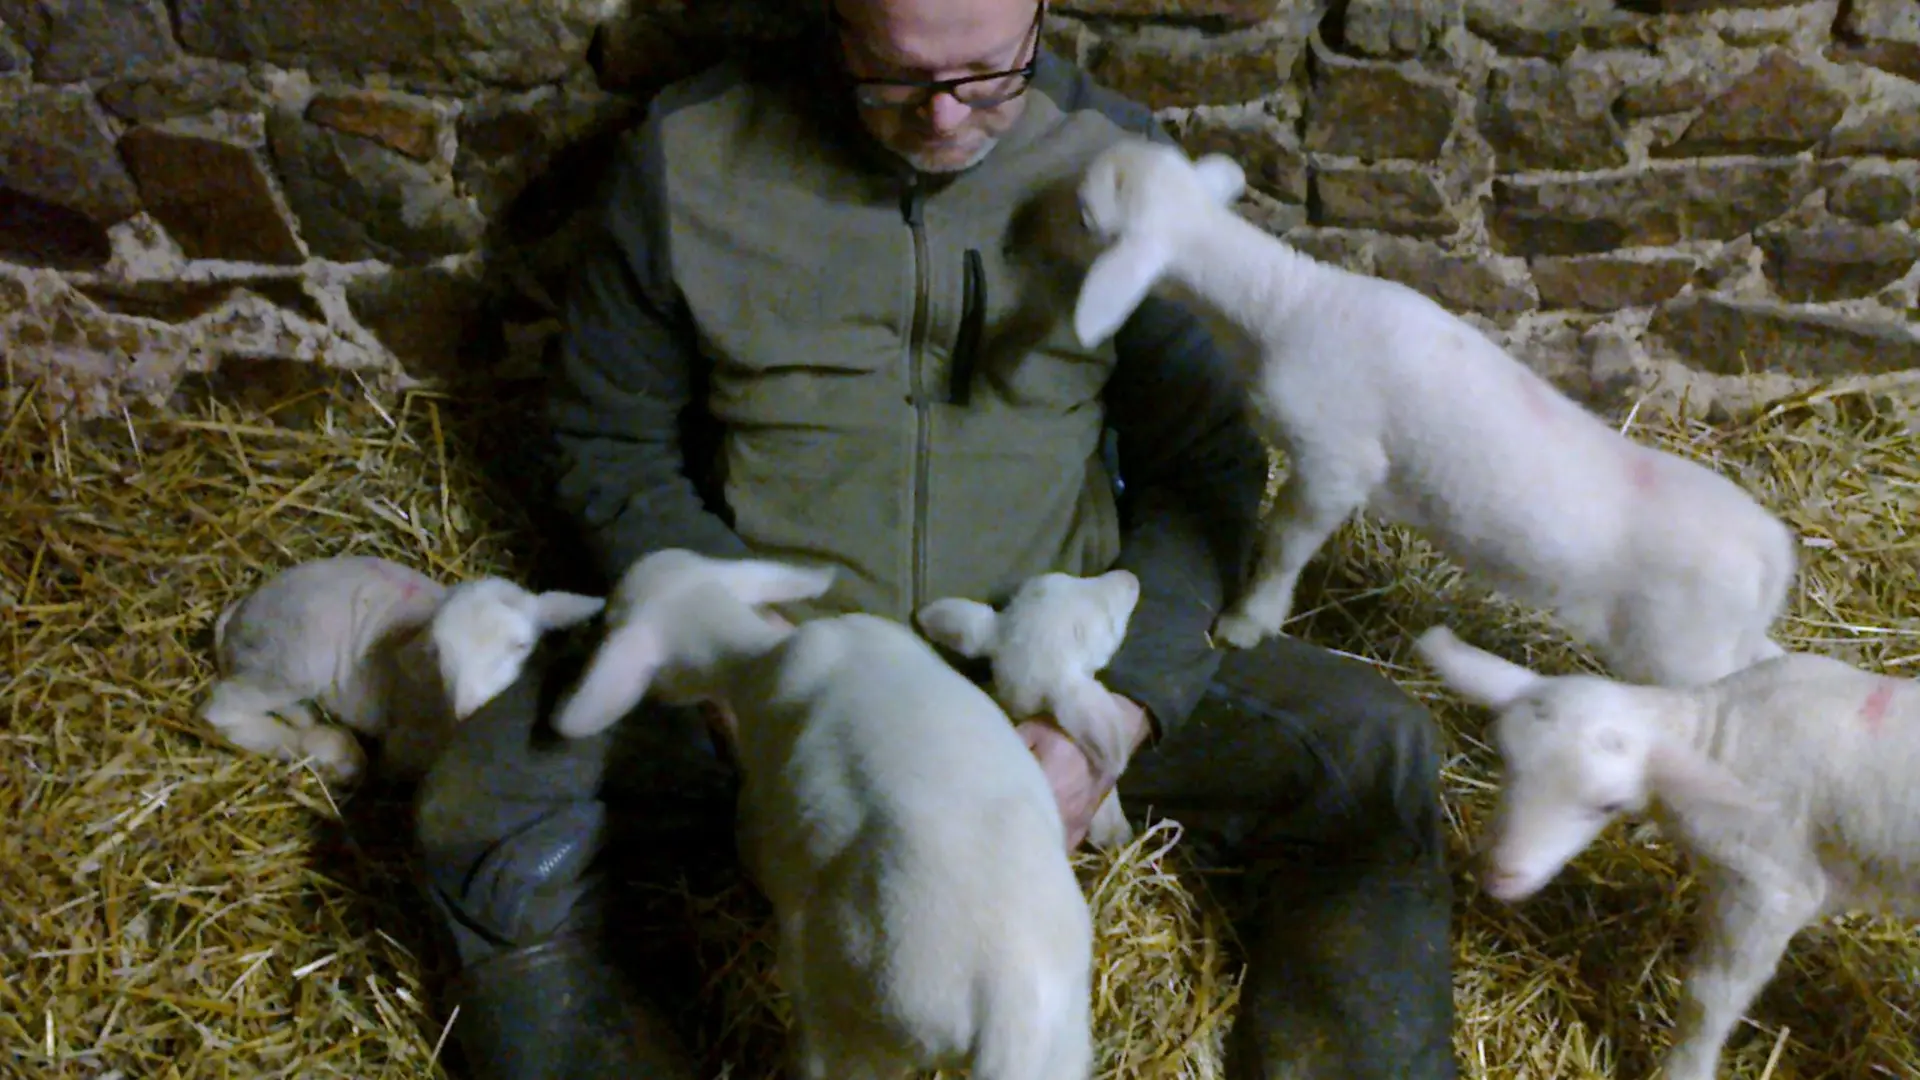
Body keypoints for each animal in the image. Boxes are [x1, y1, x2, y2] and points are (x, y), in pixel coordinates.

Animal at [198, 553, 602, 780]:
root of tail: (240, 609)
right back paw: (333, 754)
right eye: (438, 653)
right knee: (219, 711)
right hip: (293, 661)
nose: (468, 710)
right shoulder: (404, 742)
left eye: (521, 645)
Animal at [1067, 136, 1797, 687]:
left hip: (1679, 654)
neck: (1285, 301)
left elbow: (1283, 546)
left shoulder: (1334, 459)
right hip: (1723, 639)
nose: (1081, 167)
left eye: (1092, 208)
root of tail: (1769, 549)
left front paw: (1248, 622)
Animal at [1413, 618, 1920, 1076]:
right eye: (1505, 760)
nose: (1498, 874)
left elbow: (1708, 996)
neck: (1716, 730)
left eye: (1608, 804)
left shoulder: (1771, 888)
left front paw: (1684, 1068)